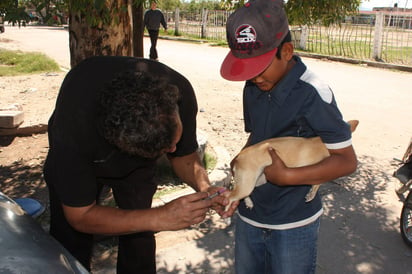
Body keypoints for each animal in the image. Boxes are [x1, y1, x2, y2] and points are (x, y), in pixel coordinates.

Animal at [229, 119, 358, 208]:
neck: (323, 144)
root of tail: (239, 157)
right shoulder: (315, 169)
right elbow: (318, 183)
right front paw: (311, 194)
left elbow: (318, 183)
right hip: (247, 185)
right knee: (230, 197)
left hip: (256, 181)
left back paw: (248, 202)